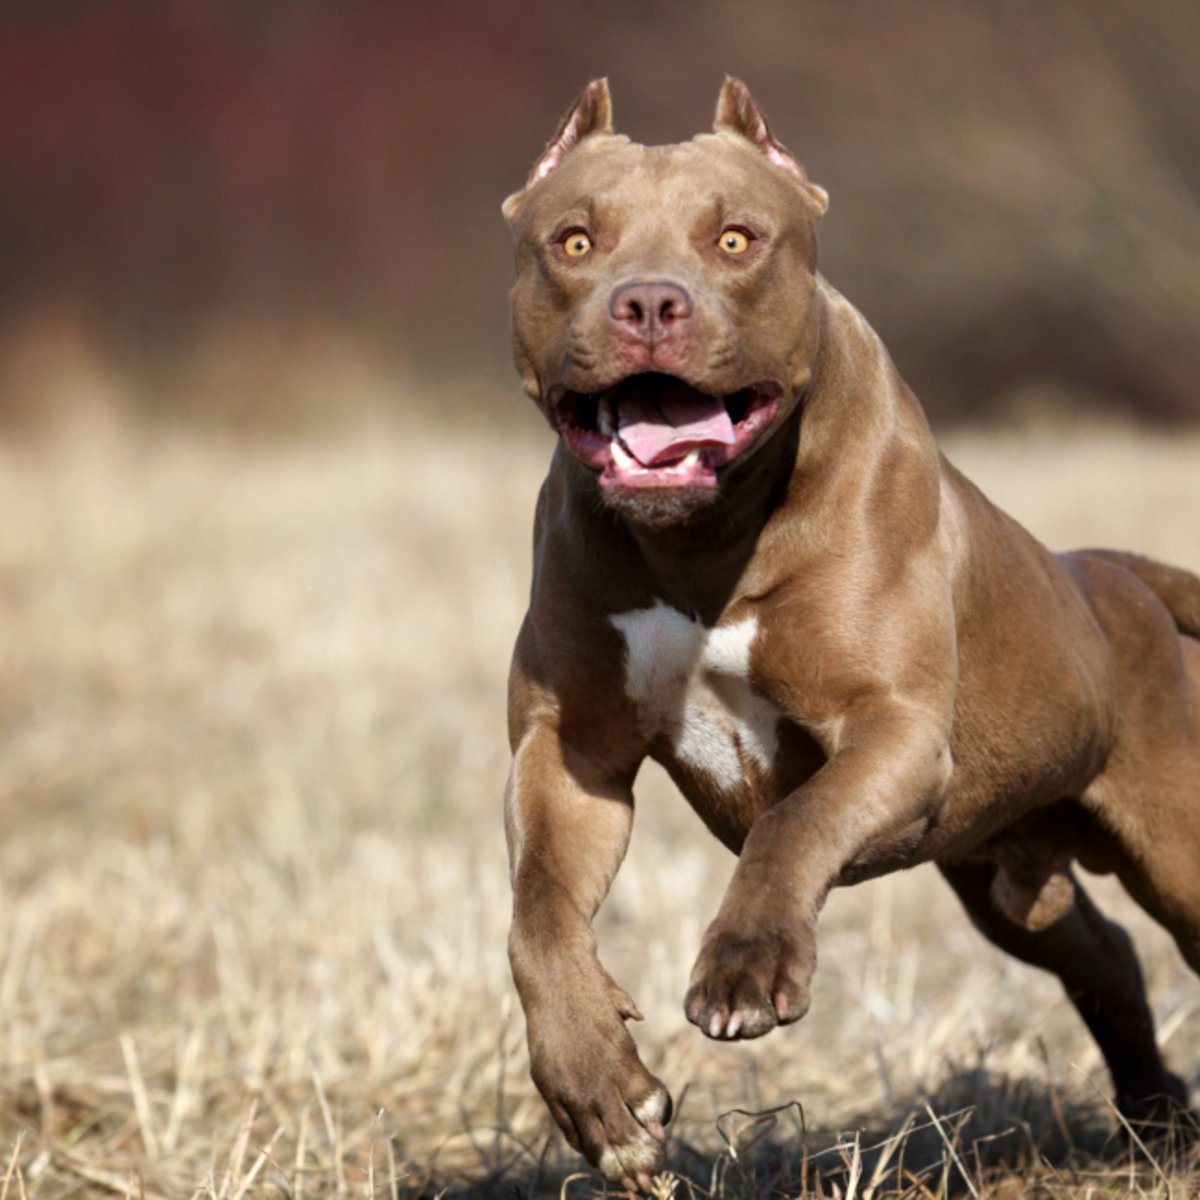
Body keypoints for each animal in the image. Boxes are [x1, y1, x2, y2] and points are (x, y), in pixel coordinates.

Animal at [499, 77, 1200, 1190]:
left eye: (736, 239)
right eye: (573, 241)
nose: (648, 302)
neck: (701, 541)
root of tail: (1111, 573)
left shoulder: (894, 731)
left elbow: (793, 820)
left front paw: (746, 966)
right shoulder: (569, 757)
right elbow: (536, 915)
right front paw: (600, 1094)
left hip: (1177, 850)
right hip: (1010, 879)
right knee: (1104, 958)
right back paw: (1155, 1122)